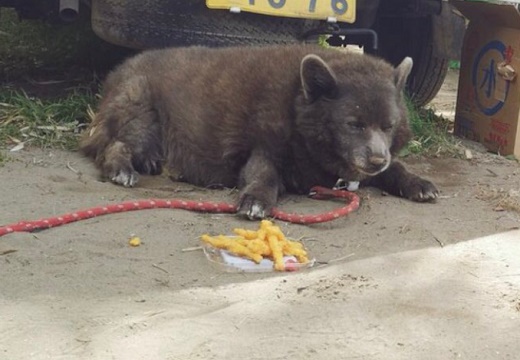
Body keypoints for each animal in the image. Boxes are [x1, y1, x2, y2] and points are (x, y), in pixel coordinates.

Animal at [81, 45, 438, 219]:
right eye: (354, 124)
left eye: (388, 126)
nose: (377, 160)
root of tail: (116, 73)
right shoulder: (263, 151)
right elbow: (264, 177)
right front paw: (256, 199)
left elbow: (398, 167)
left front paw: (416, 182)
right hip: (141, 113)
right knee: (114, 146)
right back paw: (122, 169)